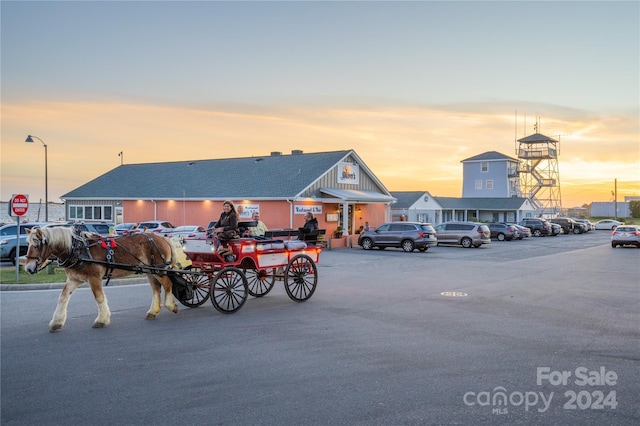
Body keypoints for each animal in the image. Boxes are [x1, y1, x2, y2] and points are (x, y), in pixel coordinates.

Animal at [24, 226, 179, 332]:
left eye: (36, 245)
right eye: (28, 245)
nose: (29, 268)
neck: (77, 249)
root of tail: (162, 238)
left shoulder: (94, 278)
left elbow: (99, 297)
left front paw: (102, 319)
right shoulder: (74, 280)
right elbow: (63, 297)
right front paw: (57, 322)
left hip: (158, 270)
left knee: (167, 284)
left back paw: (171, 305)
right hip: (149, 271)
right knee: (156, 289)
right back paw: (153, 311)